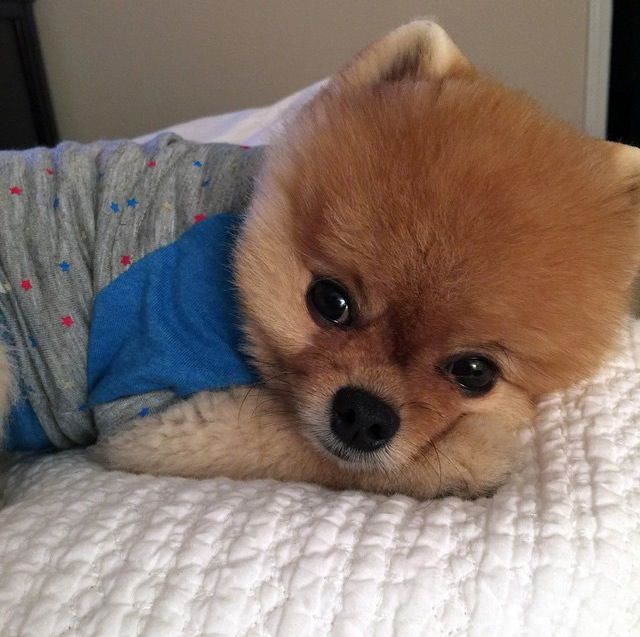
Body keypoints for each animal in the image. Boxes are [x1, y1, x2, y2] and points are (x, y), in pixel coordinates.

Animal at [3, 19, 640, 500]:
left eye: (475, 371)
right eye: (330, 302)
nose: (365, 415)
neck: (234, 240)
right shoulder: (150, 407)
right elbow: (304, 447)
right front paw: (471, 455)